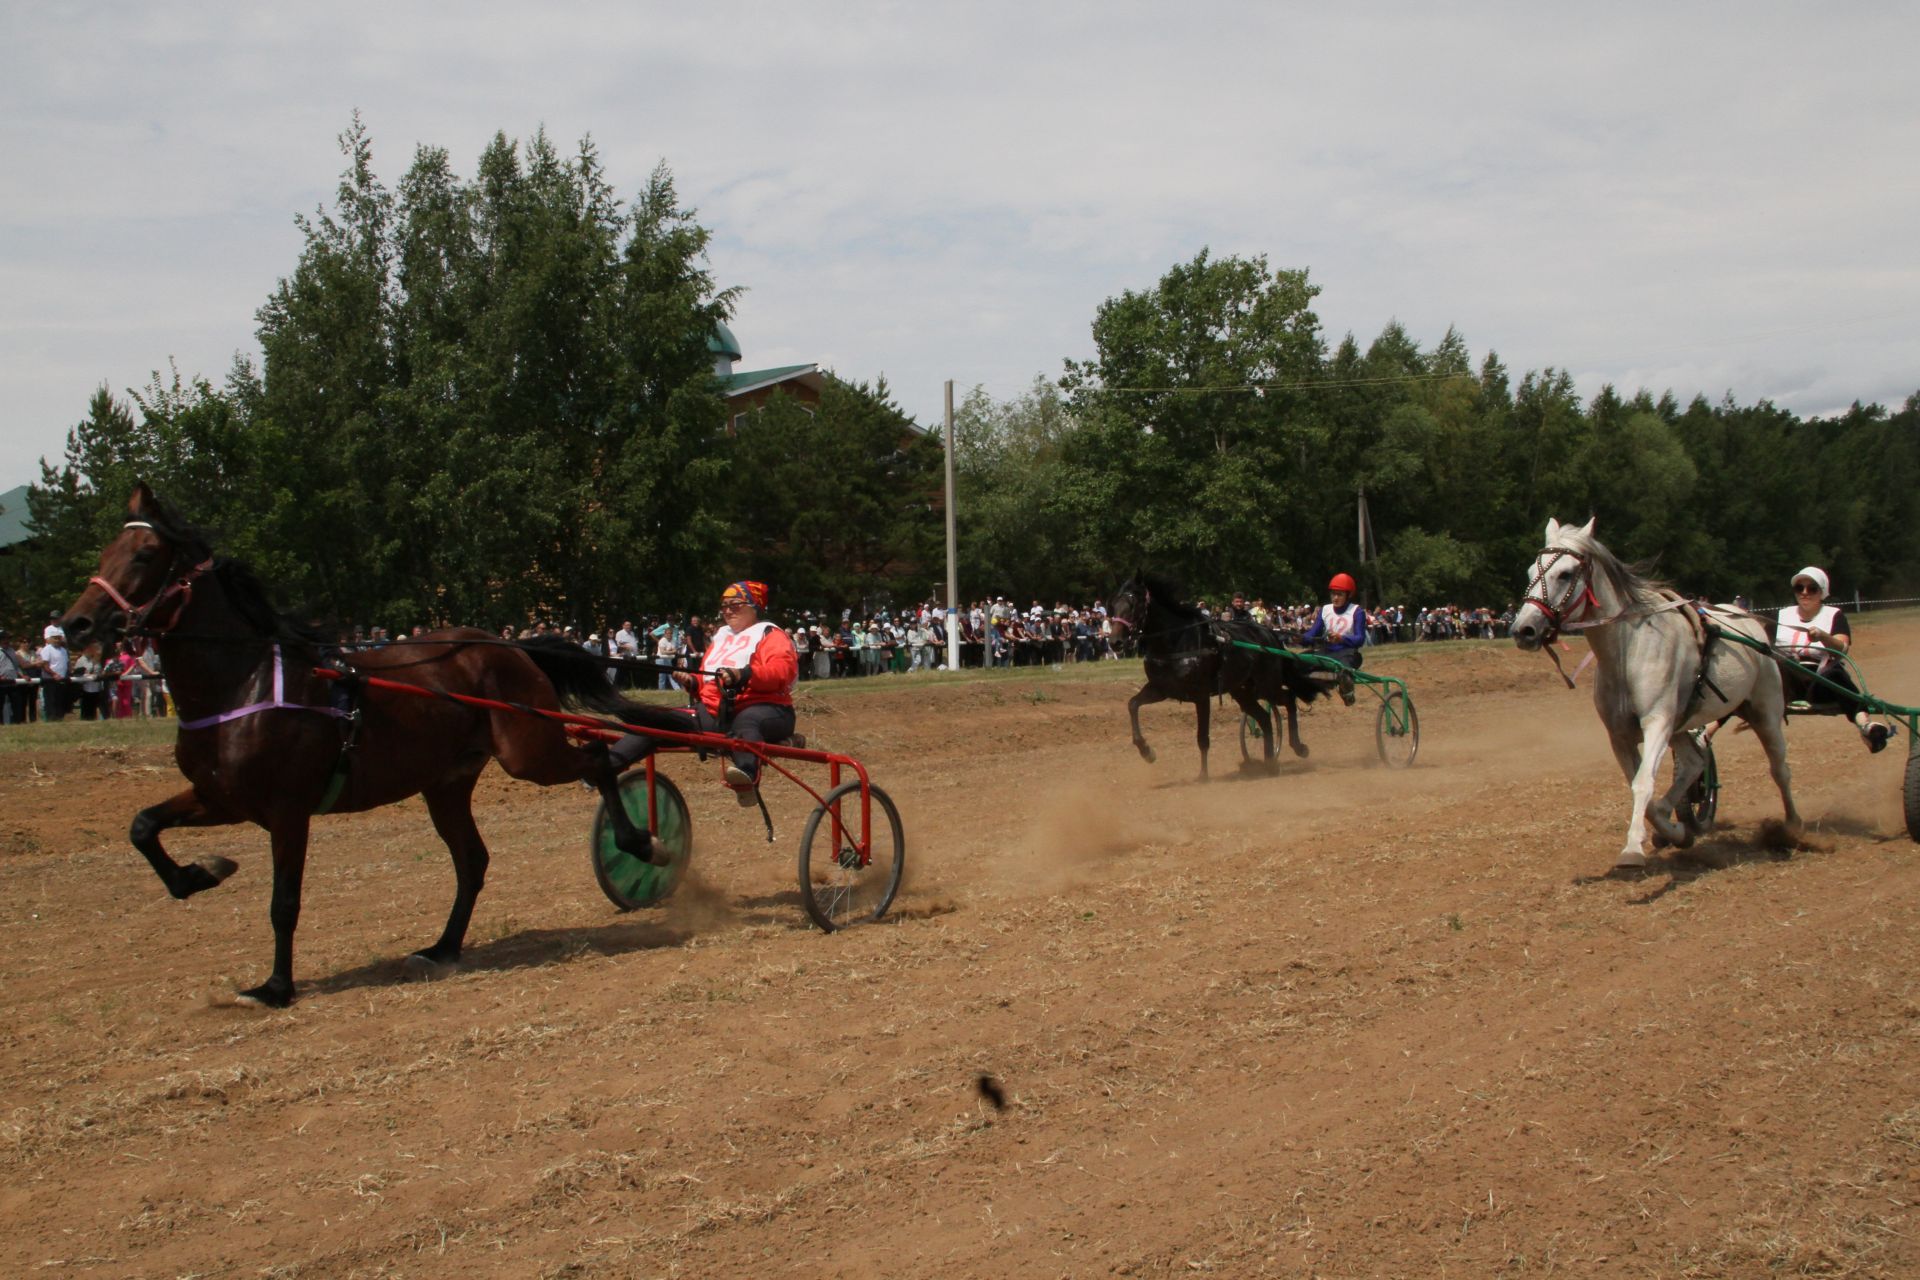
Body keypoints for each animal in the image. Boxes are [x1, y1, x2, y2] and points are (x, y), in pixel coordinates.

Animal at [60, 485, 687, 1005]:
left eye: (144, 555)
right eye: (106, 551)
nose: (75, 625)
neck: (244, 683)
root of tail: (511, 646)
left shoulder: (288, 811)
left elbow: (284, 902)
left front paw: (276, 987)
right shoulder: (222, 798)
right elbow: (143, 826)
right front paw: (201, 873)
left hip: (528, 751)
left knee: (597, 761)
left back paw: (642, 843)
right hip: (447, 782)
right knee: (473, 860)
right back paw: (442, 948)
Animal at [1105, 571, 1328, 782]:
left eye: (1133, 604)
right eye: (1113, 605)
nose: (1115, 642)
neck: (1176, 643)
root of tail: (1270, 634)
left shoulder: (1201, 695)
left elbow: (1202, 737)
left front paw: (1203, 775)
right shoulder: (1161, 688)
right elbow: (1132, 704)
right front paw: (1147, 751)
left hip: (1267, 684)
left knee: (1288, 699)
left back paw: (1298, 747)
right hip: (1243, 691)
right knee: (1264, 718)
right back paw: (1269, 763)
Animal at [1512, 514, 1797, 867]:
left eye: (1564, 574)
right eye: (1530, 572)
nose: (1523, 629)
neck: (1627, 651)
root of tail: (1751, 621)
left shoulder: (1657, 722)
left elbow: (1643, 783)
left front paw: (1633, 848)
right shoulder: (1621, 734)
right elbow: (1641, 789)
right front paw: (1675, 832)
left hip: (1765, 711)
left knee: (1779, 768)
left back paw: (1793, 828)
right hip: (1682, 725)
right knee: (1694, 762)